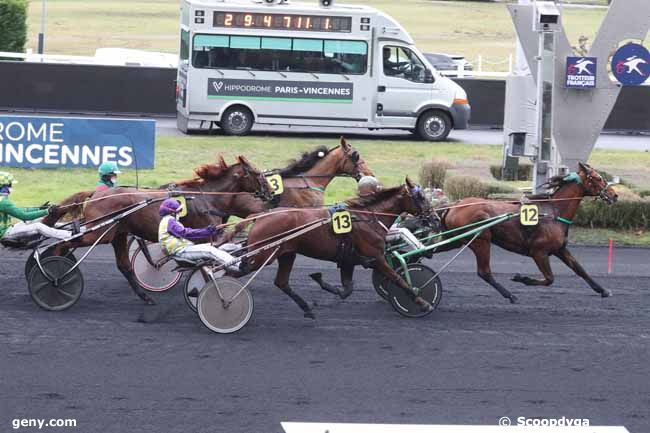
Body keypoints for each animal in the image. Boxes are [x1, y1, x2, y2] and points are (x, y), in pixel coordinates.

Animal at [50, 155, 270, 304]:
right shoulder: (205, 235)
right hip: (97, 233)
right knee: (64, 243)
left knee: (124, 266)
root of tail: (96, 194)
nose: (269, 193)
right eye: (257, 173)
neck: (207, 198)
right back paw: (55, 272)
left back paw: (146, 297)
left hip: (117, 234)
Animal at [243, 177, 430, 318]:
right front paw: (423, 303)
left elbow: (347, 289)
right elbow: (399, 279)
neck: (367, 218)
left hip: (287, 254)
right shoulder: (377, 257)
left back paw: (307, 308)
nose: (433, 216)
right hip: (261, 255)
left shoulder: (348, 260)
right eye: (421, 197)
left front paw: (320, 280)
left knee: (281, 282)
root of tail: (262, 215)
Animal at [438, 163, 616, 304]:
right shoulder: (539, 252)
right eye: (598, 178)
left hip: (457, 240)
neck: (554, 211)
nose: (614, 195)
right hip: (481, 241)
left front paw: (603, 290)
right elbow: (550, 279)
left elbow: (580, 269)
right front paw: (521, 278)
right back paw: (510, 295)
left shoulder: (560, 249)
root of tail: (455, 205)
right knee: (484, 272)